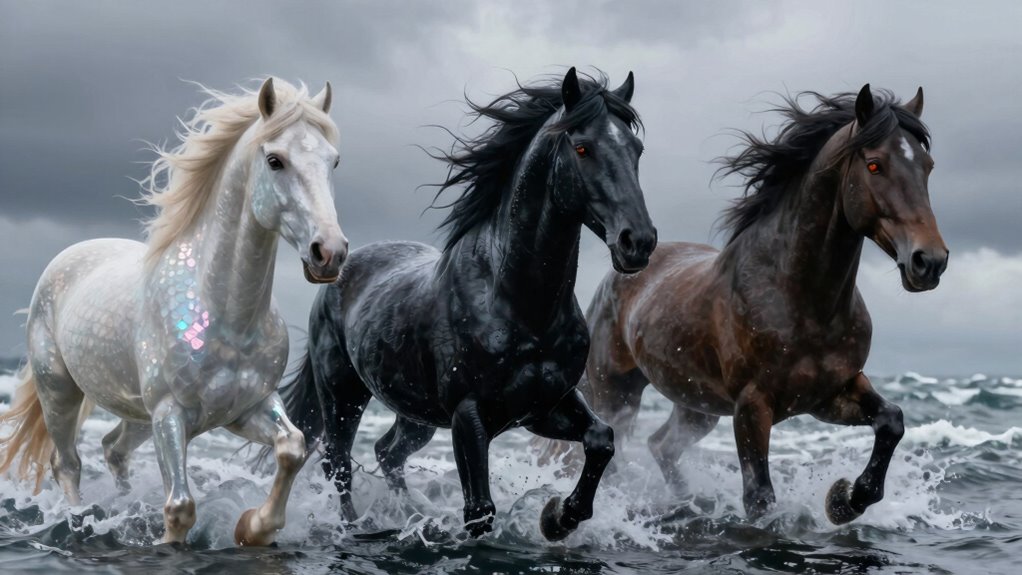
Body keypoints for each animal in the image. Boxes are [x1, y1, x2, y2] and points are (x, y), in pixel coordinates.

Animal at [0, 78, 348, 546]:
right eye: (275, 160)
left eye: (334, 161)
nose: (329, 253)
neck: (226, 317)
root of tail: (66, 258)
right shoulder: (171, 414)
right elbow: (180, 508)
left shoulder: (247, 408)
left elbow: (292, 448)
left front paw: (253, 526)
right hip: (60, 391)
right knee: (67, 464)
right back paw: (77, 520)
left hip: (137, 414)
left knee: (113, 449)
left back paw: (123, 507)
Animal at [278, 68, 657, 540]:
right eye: (583, 147)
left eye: (636, 150)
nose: (637, 242)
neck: (519, 306)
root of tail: (338, 268)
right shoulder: (468, 415)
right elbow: (480, 510)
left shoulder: (544, 407)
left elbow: (602, 440)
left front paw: (558, 518)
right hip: (342, 394)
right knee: (339, 463)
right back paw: (356, 527)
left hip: (415, 415)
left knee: (387, 451)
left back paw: (407, 516)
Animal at [572, 85, 948, 524]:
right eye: (874, 165)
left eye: (928, 165)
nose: (929, 261)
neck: (803, 304)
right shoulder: (752, 406)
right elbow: (760, 498)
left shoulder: (831, 393)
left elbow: (892, 421)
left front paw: (844, 500)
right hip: (617, 392)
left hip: (697, 406)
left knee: (662, 445)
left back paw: (687, 503)